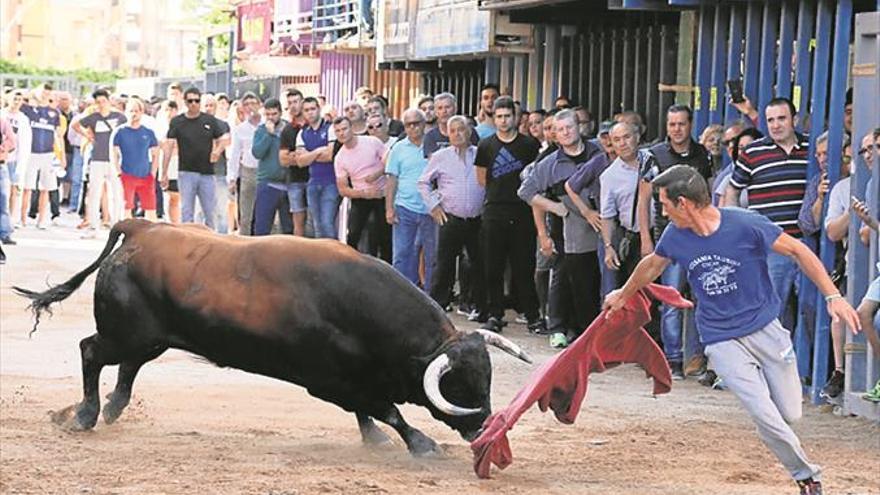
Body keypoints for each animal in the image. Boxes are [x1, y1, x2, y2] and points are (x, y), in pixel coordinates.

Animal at [15, 221, 528, 458]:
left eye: (487, 378)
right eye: (458, 384)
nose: (484, 427)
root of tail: (142, 227)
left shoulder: (352, 378)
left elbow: (370, 409)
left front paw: (377, 440)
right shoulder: (327, 381)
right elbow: (385, 409)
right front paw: (420, 444)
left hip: (148, 337)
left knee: (128, 365)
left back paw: (113, 408)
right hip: (125, 333)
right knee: (91, 352)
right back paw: (85, 415)